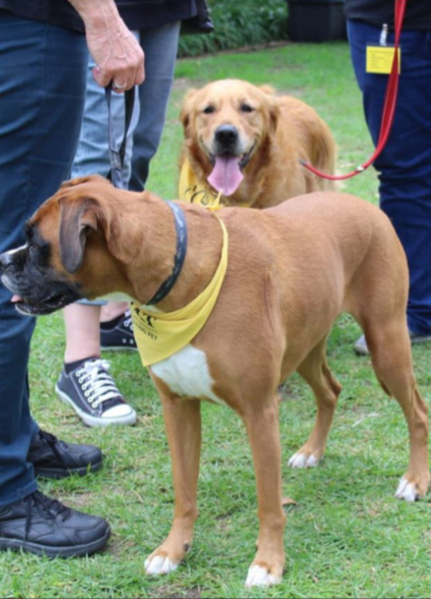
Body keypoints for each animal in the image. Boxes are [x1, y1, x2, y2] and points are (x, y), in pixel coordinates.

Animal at [1, 176, 430, 588]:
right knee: (330, 391)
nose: (4, 260)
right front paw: (173, 551)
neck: (179, 275)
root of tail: (363, 204)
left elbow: (269, 503)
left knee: (417, 412)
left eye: (36, 243)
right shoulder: (178, 409)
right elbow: (184, 491)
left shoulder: (260, 413)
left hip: (386, 343)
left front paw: (269, 563)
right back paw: (312, 452)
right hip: (306, 347)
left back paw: (414, 481)